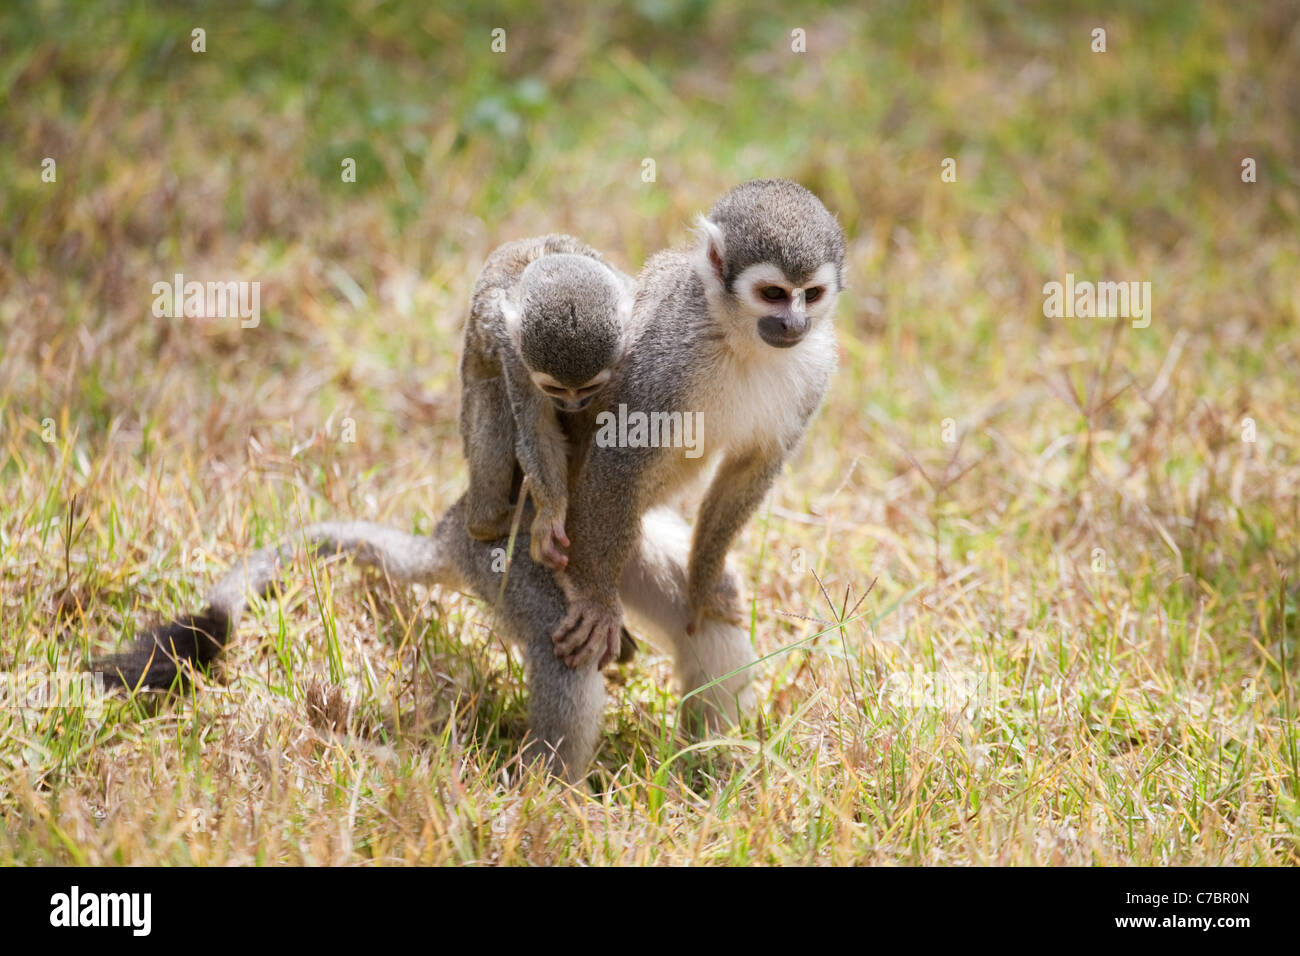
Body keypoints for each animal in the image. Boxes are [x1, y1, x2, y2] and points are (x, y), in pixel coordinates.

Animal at [462, 235, 634, 572]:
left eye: (589, 387)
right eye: (555, 388)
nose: (573, 405)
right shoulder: (514, 353)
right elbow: (537, 432)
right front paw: (550, 516)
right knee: (493, 394)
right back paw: (488, 521)